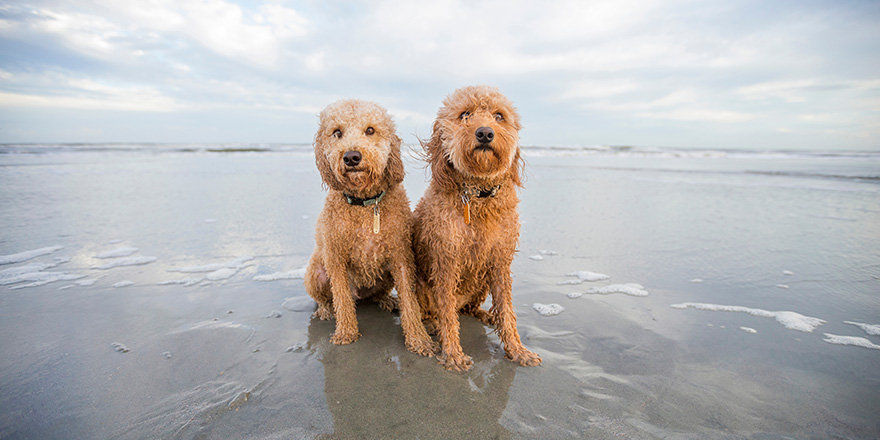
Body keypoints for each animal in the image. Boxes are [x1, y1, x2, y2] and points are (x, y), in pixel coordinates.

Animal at [304, 98, 438, 356]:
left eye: (370, 130)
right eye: (337, 132)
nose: (351, 157)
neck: (365, 203)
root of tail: (361, 294)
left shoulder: (401, 256)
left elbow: (410, 301)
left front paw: (418, 339)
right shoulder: (336, 257)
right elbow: (342, 299)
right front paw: (346, 332)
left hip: (385, 276)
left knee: (379, 294)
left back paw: (387, 300)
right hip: (315, 273)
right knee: (327, 298)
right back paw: (325, 310)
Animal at [414, 85, 544, 372]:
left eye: (499, 116)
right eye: (465, 114)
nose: (485, 133)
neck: (478, 195)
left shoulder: (500, 262)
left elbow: (506, 310)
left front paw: (517, 350)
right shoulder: (446, 260)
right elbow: (447, 314)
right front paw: (453, 354)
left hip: (482, 281)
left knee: (469, 309)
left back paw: (486, 315)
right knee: (437, 311)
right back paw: (432, 323)